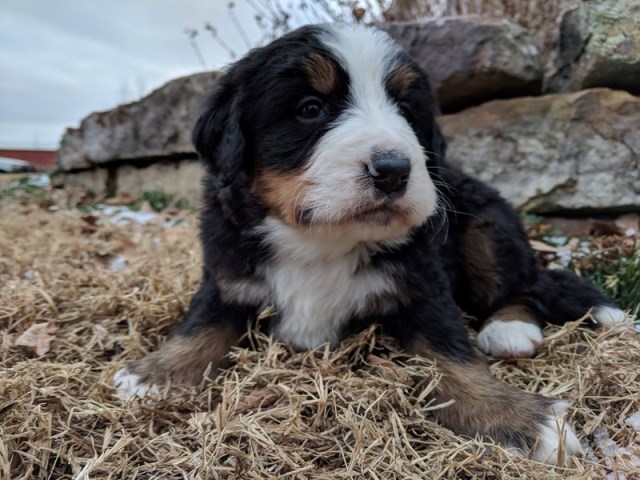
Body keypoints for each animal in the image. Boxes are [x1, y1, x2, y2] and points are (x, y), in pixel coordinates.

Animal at [112, 23, 628, 464]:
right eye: (310, 108)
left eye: (407, 112)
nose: (394, 169)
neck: (321, 241)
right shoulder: (226, 273)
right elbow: (200, 325)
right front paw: (155, 373)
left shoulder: (424, 287)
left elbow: (453, 357)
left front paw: (517, 417)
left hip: (486, 227)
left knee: (526, 286)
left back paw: (509, 328)